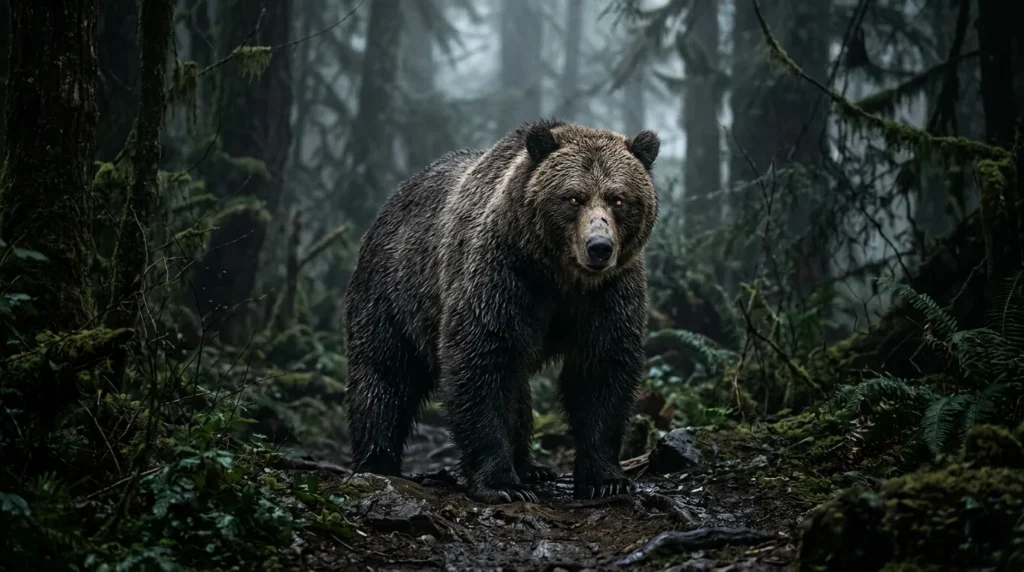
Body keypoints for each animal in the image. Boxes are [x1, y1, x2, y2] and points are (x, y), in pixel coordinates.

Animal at [343, 118, 660, 504]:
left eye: (618, 199)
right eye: (573, 197)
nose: (599, 247)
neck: (560, 275)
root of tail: (392, 200)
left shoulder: (609, 292)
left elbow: (601, 368)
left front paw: (605, 478)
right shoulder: (503, 274)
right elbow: (481, 361)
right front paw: (500, 484)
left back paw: (530, 466)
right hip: (394, 289)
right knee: (384, 371)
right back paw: (376, 460)